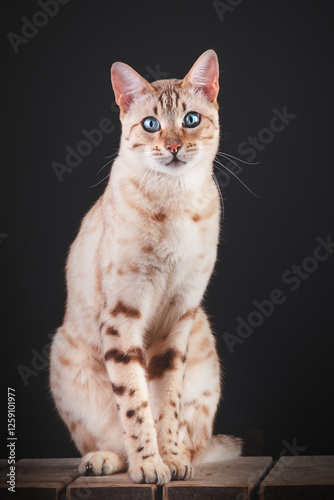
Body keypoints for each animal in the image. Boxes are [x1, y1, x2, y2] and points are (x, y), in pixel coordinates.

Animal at [49, 49, 241, 484]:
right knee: (109, 439)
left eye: (191, 119)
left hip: (203, 344)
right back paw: (105, 459)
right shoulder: (123, 316)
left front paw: (169, 459)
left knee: (196, 440)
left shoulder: (178, 317)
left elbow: (165, 403)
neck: (174, 200)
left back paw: (180, 456)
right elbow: (135, 405)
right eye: (151, 124)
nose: (172, 146)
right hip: (62, 355)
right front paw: (149, 465)